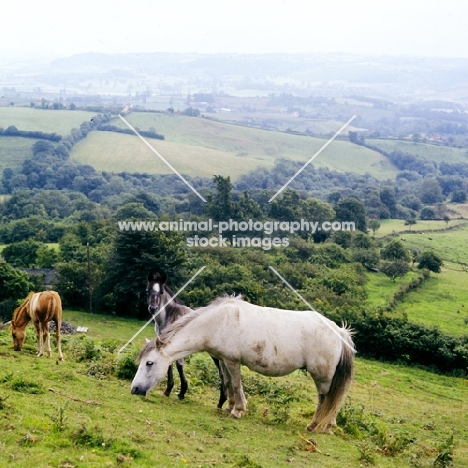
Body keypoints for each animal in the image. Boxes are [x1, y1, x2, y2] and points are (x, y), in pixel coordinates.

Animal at [132, 294, 354, 434]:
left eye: (149, 363)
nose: (134, 389)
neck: (217, 322)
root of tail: (339, 331)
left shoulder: (232, 361)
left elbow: (236, 384)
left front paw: (237, 411)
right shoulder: (223, 360)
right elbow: (228, 384)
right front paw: (229, 406)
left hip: (322, 378)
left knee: (327, 400)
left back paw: (316, 425)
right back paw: (327, 427)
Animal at [146, 272, 227, 408]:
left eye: (161, 292)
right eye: (148, 290)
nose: (153, 308)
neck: (170, 317)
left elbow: (179, 365)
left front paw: (181, 393)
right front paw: (168, 391)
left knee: (223, 373)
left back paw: (222, 402)